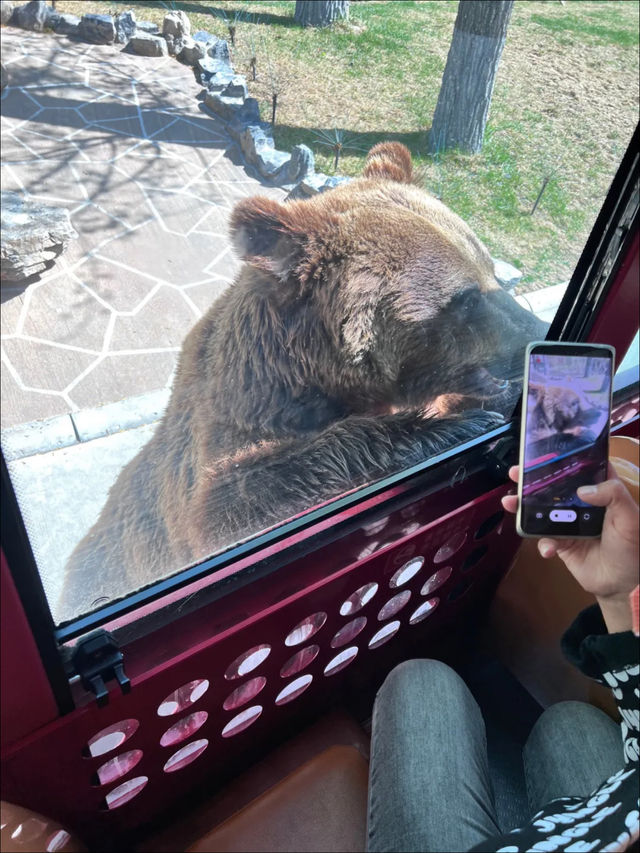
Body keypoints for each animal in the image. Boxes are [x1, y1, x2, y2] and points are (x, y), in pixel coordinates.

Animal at [60, 140, 548, 620]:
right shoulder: (228, 432)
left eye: (492, 271)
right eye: (466, 298)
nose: (537, 331)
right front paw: (459, 427)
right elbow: (238, 498)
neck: (316, 375)